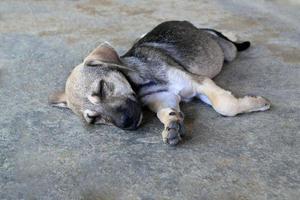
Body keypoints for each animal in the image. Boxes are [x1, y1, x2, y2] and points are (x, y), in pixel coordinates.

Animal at [48, 20, 270, 145]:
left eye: (101, 88)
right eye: (94, 119)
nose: (127, 125)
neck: (140, 82)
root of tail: (188, 23)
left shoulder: (199, 82)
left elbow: (225, 105)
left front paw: (257, 103)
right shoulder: (164, 99)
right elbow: (165, 113)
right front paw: (172, 125)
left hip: (228, 52)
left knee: (224, 39)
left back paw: (232, 34)